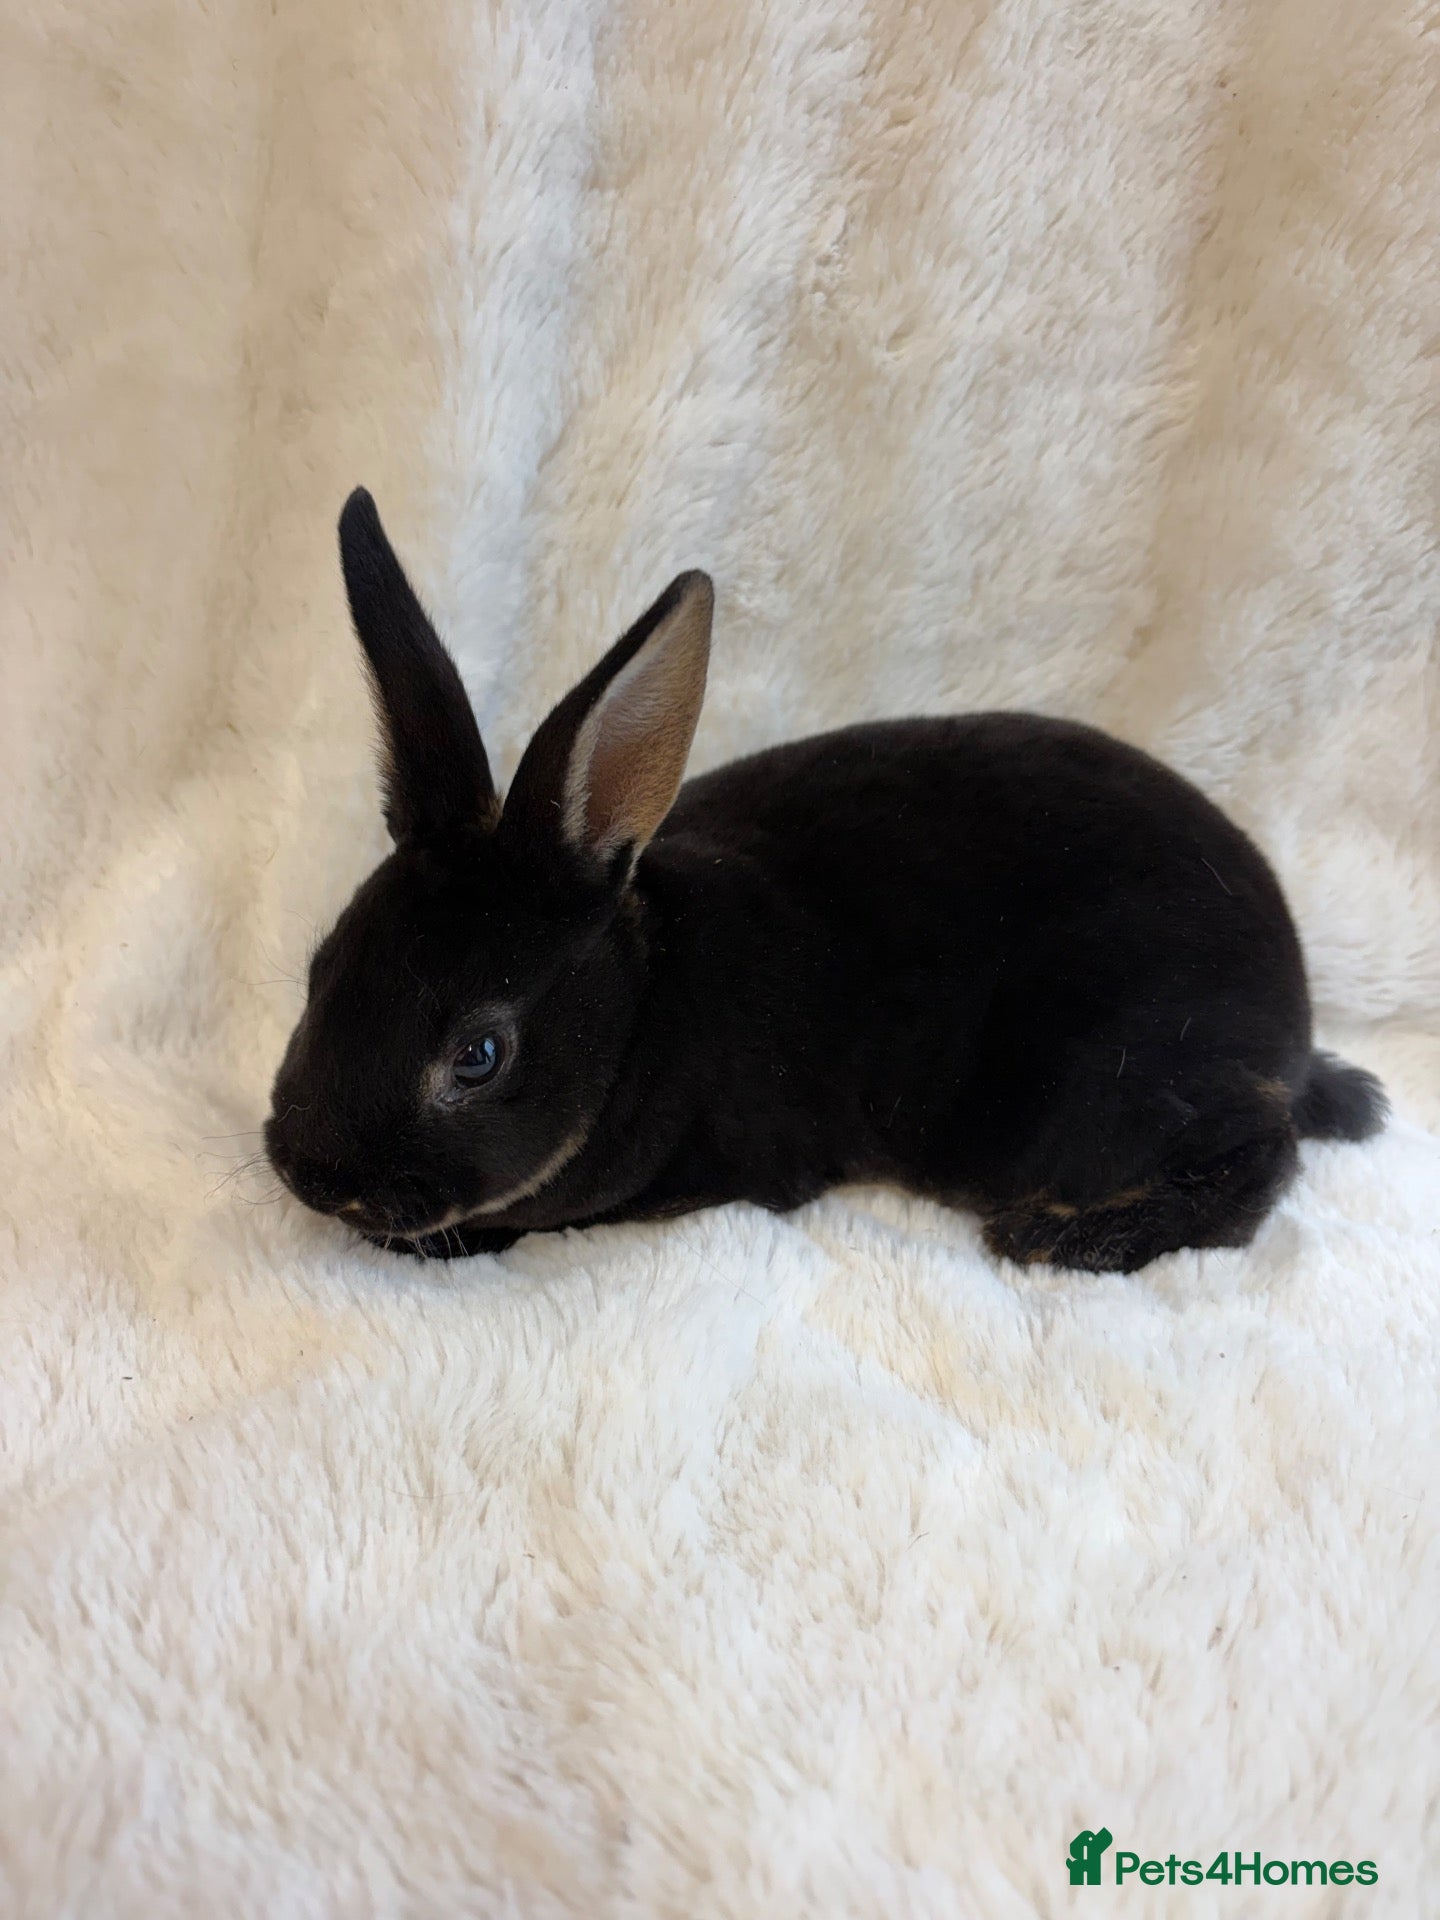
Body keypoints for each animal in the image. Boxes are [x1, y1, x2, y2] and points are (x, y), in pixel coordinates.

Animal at [264, 489, 1387, 1273]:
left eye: (480, 1054)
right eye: (320, 974)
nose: (310, 1173)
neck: (645, 1007)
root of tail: (1291, 1027)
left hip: (1107, 1084)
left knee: (1261, 1159)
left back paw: (1068, 1239)